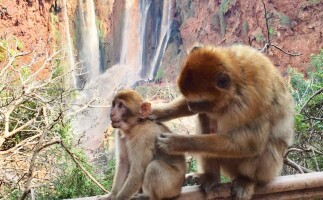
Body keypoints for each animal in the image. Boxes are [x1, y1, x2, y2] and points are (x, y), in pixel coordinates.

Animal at [151, 45, 294, 200]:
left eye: (199, 101)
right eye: (188, 98)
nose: (190, 105)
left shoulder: (251, 102)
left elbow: (252, 143)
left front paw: (178, 142)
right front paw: (157, 112)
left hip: (265, 170)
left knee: (263, 148)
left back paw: (247, 180)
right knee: (204, 117)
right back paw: (211, 177)